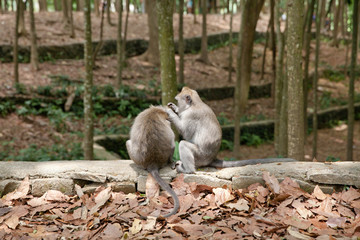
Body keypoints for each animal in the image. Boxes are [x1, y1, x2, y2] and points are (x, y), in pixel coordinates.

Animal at [166, 87, 296, 173]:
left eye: (178, 100)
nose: (177, 104)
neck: (195, 103)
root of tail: (212, 158)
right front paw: (174, 109)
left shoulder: (191, 115)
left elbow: (186, 134)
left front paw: (170, 112)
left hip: (200, 156)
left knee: (183, 144)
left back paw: (188, 170)